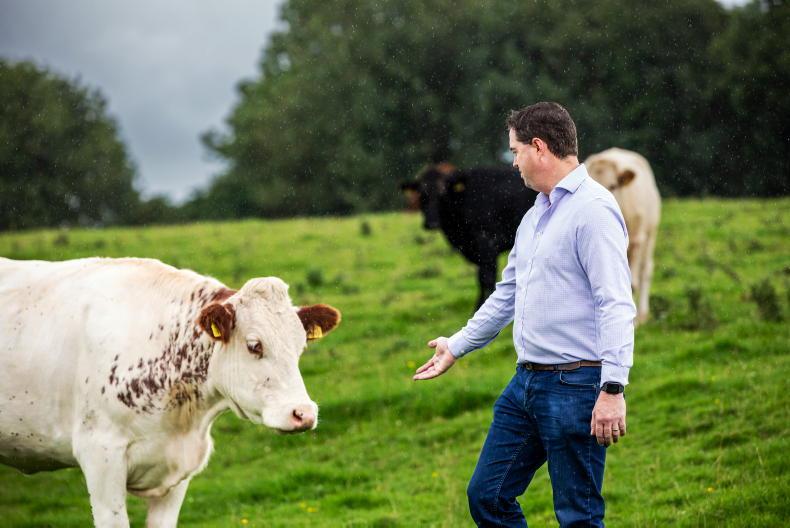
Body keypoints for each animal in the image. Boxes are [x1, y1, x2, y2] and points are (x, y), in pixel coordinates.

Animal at [401, 163, 538, 310]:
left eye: (442, 194)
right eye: (421, 194)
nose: (431, 223)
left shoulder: (487, 242)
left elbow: (487, 278)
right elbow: (480, 278)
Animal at [585, 147, 661, 324]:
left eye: (613, 186)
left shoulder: (637, 241)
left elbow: (632, 284)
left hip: (650, 234)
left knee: (645, 270)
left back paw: (642, 314)